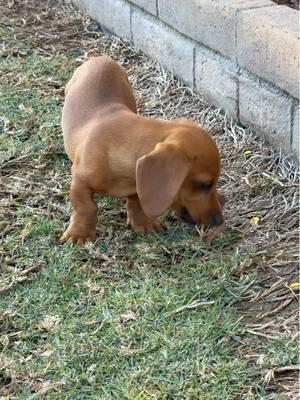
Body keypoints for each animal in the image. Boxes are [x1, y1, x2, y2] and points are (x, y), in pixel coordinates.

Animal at [59, 56, 223, 244]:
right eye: (204, 185)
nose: (220, 221)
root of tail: (100, 58)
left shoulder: (138, 183)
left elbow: (136, 202)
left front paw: (142, 222)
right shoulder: (79, 182)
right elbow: (85, 207)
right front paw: (80, 233)